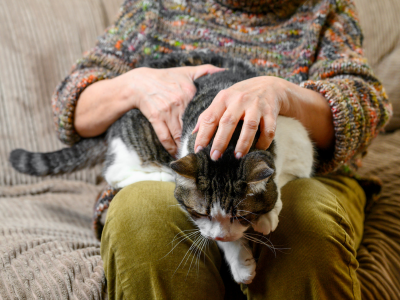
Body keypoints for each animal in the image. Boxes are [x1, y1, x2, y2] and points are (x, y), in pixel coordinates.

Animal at [9, 51, 314, 284]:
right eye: (199, 212)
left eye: (241, 216)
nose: (220, 234)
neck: (229, 139)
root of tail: (113, 124)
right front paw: (240, 260)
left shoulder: (300, 148)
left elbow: (282, 177)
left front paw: (267, 215)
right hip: (137, 143)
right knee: (114, 171)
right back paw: (162, 173)